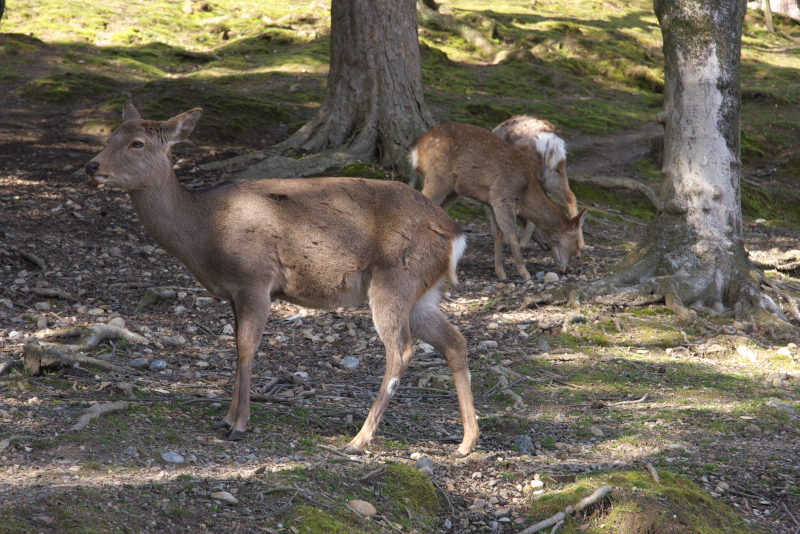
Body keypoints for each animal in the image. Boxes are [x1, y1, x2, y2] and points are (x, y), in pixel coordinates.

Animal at [84, 103, 478, 456]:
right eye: (111, 136)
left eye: (137, 143)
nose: (92, 165)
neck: (205, 229)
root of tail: (455, 236)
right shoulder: (234, 291)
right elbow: (236, 348)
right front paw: (225, 419)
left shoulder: (254, 280)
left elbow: (247, 348)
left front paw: (239, 425)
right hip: (423, 292)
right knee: (454, 341)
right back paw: (466, 442)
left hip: (396, 279)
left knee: (401, 349)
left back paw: (359, 440)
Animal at [490, 115, 584, 249]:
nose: (547, 245)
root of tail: (551, 140)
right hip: (554, 173)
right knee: (570, 196)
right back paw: (581, 244)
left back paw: (522, 243)